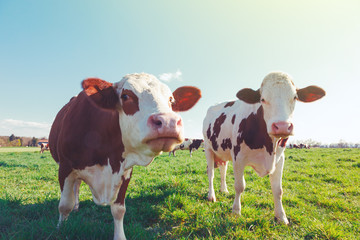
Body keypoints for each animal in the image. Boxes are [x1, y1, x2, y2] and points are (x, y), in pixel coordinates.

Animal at [48, 73, 201, 240]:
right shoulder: (65, 167)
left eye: (171, 100)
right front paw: (60, 229)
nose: (168, 122)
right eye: (125, 96)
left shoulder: (125, 171)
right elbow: (64, 206)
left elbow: (119, 209)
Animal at [202, 71, 326, 225]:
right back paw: (211, 196)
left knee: (223, 169)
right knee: (211, 173)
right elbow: (239, 186)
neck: (268, 146)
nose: (282, 126)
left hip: (223, 152)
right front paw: (236, 211)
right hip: (208, 148)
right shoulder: (238, 157)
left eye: (295, 97)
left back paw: (224, 190)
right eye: (262, 99)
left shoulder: (280, 158)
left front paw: (281, 217)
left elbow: (278, 190)